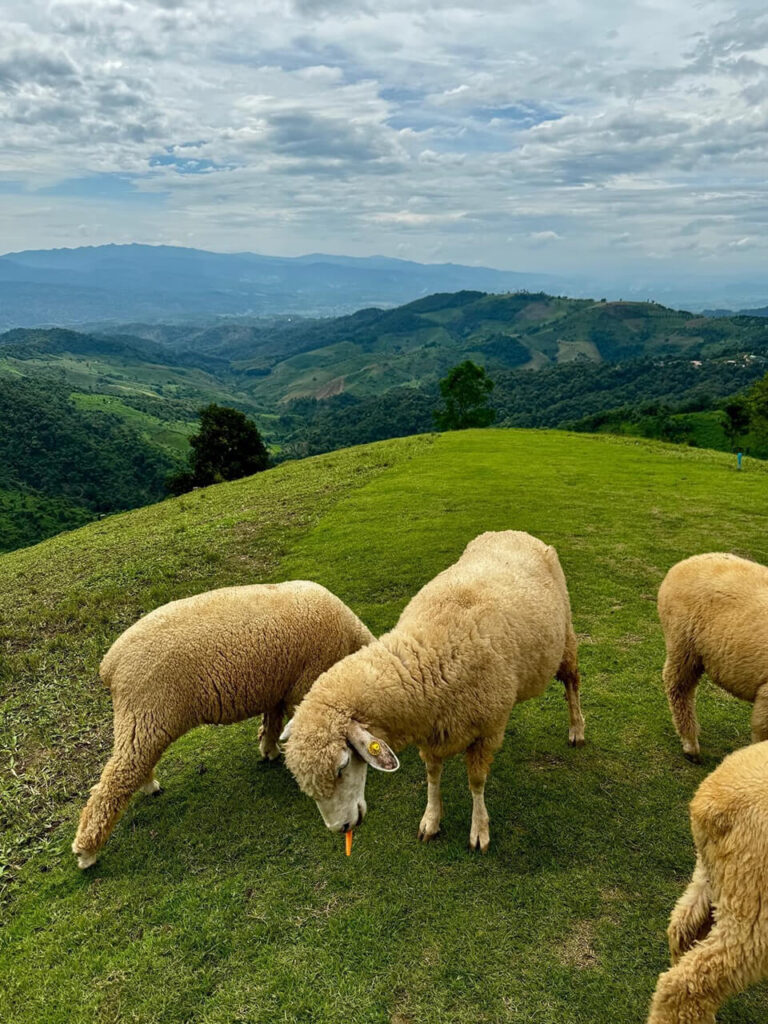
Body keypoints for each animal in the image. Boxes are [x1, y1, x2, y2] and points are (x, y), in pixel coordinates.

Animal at [72, 581, 374, 869]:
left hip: (140, 719)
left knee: (131, 764)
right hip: (147, 712)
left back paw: (147, 786)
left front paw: (268, 748)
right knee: (117, 777)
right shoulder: (304, 685)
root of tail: (109, 666)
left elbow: (272, 719)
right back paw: (86, 851)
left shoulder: (280, 685)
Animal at [281, 530, 585, 851]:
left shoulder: (485, 732)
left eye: (342, 765)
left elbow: (476, 782)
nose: (341, 827)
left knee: (572, 684)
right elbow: (433, 776)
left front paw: (479, 829)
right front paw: (431, 819)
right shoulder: (432, 731)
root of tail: (513, 531)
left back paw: (577, 729)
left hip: (565, 639)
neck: (427, 652)